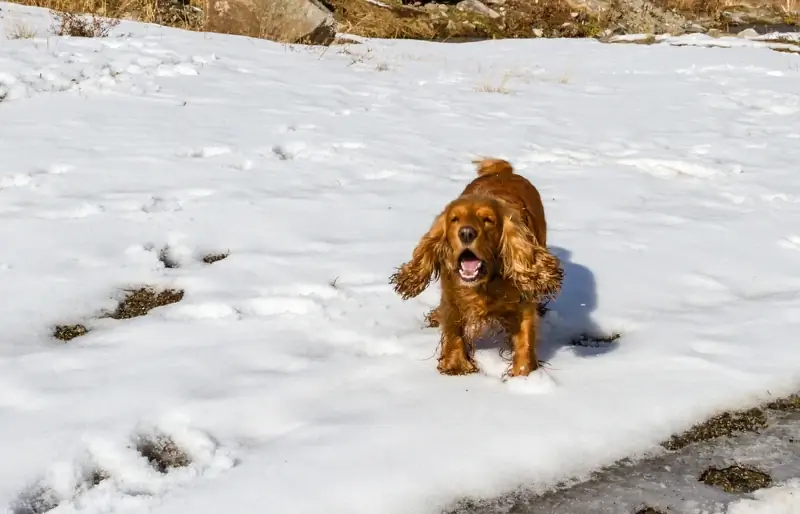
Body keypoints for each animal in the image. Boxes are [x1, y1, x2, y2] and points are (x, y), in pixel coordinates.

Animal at [388, 156, 564, 376]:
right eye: (454, 219)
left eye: (488, 220)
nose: (466, 233)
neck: (484, 284)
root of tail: (505, 171)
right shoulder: (452, 296)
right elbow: (453, 327)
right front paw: (455, 364)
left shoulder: (523, 303)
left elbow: (525, 339)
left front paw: (522, 375)